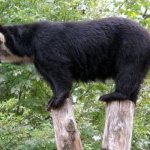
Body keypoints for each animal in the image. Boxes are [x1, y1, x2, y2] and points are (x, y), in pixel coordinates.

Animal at [0, 17, 150, 110]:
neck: (30, 45)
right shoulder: (38, 61)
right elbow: (49, 77)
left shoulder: (47, 45)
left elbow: (59, 71)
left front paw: (55, 100)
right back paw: (130, 100)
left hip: (131, 47)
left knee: (128, 71)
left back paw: (112, 95)